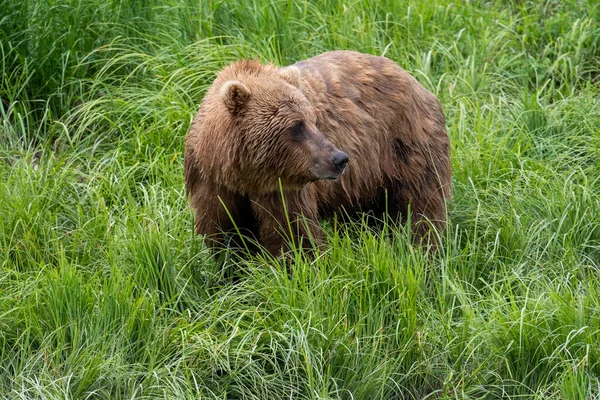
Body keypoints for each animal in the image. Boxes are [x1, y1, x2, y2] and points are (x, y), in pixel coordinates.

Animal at [183, 50, 450, 256]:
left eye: (314, 121)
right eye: (296, 126)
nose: (340, 158)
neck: (242, 174)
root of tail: (416, 81)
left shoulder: (282, 189)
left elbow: (292, 234)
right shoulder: (211, 183)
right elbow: (224, 234)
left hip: (404, 149)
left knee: (421, 209)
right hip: (364, 181)